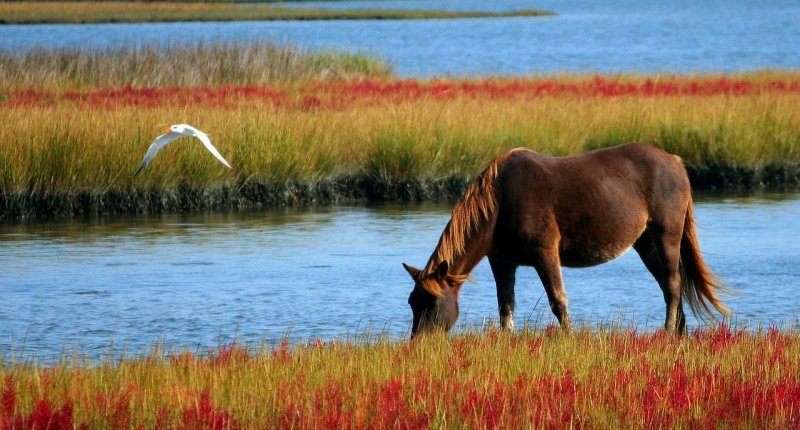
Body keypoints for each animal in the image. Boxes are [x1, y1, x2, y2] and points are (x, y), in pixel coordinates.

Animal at [406, 143, 732, 338]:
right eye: (412, 302)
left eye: (431, 302)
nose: (419, 344)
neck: (500, 202)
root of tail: (676, 162)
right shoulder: (502, 261)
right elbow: (505, 307)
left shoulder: (545, 253)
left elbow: (558, 301)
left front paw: (568, 338)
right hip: (646, 243)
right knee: (668, 285)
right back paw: (678, 333)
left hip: (667, 234)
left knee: (674, 285)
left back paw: (667, 333)